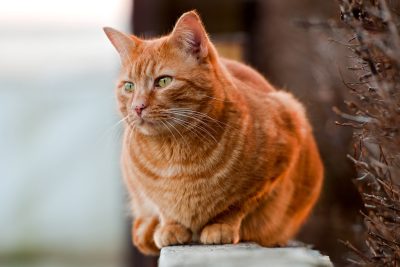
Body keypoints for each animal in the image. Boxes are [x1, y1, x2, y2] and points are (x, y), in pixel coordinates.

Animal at [103, 11, 322, 256]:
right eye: (129, 86)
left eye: (163, 81)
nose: (137, 107)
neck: (175, 154)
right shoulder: (141, 186)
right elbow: (163, 207)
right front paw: (170, 227)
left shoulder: (280, 153)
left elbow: (238, 204)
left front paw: (221, 225)